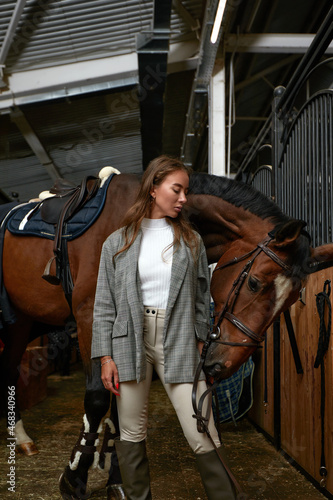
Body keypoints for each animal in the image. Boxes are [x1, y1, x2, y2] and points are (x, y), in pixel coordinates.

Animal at [0, 170, 332, 498]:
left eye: (292, 300)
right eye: (254, 283)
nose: (221, 365)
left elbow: (121, 409)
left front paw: (118, 480)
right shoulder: (91, 316)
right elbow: (97, 398)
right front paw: (74, 479)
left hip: (23, 322)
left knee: (11, 370)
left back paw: (23, 439)